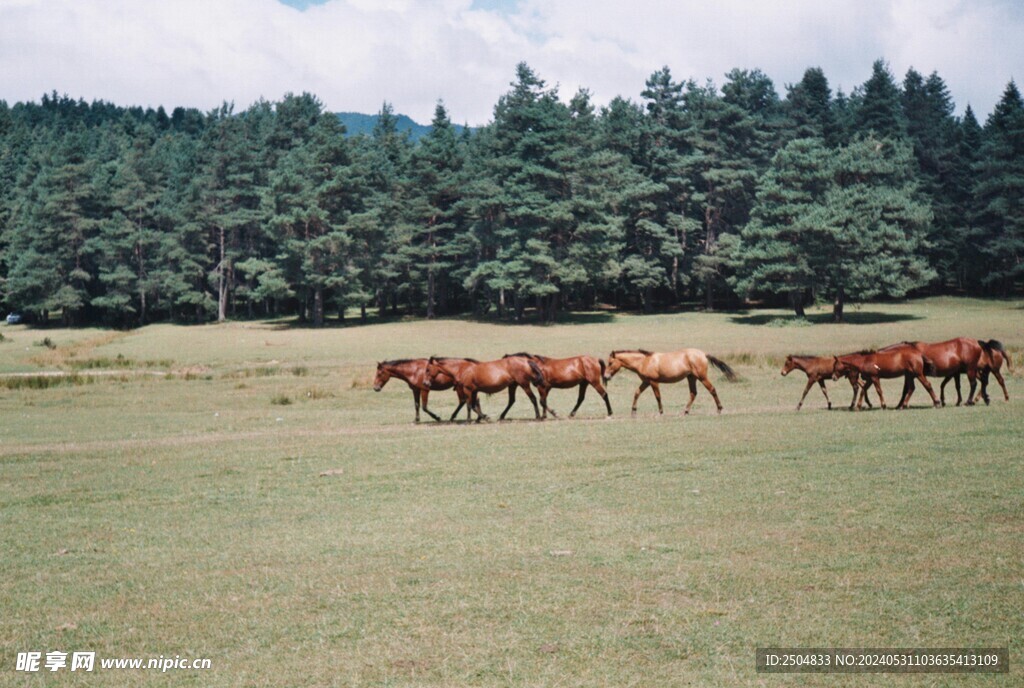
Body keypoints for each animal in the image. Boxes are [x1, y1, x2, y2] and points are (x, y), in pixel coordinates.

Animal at [604, 349, 737, 416]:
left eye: (610, 363)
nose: (605, 377)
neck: (644, 361)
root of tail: (703, 354)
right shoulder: (646, 382)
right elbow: (637, 393)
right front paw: (633, 411)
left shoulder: (653, 382)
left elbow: (658, 397)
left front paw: (661, 412)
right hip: (691, 378)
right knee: (693, 393)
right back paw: (685, 411)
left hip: (702, 377)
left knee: (712, 389)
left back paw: (719, 409)